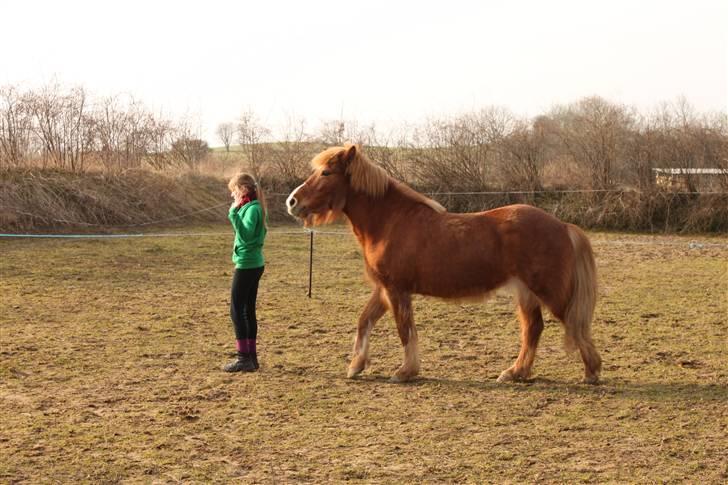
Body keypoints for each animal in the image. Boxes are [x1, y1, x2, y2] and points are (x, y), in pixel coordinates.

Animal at [288, 143, 600, 382]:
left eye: (326, 172)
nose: (292, 202)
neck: (390, 221)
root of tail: (562, 226)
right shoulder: (384, 289)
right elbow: (365, 321)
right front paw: (356, 366)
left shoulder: (396, 290)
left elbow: (404, 329)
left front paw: (405, 372)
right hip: (526, 293)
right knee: (533, 329)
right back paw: (515, 373)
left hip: (550, 293)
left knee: (575, 324)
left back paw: (592, 372)